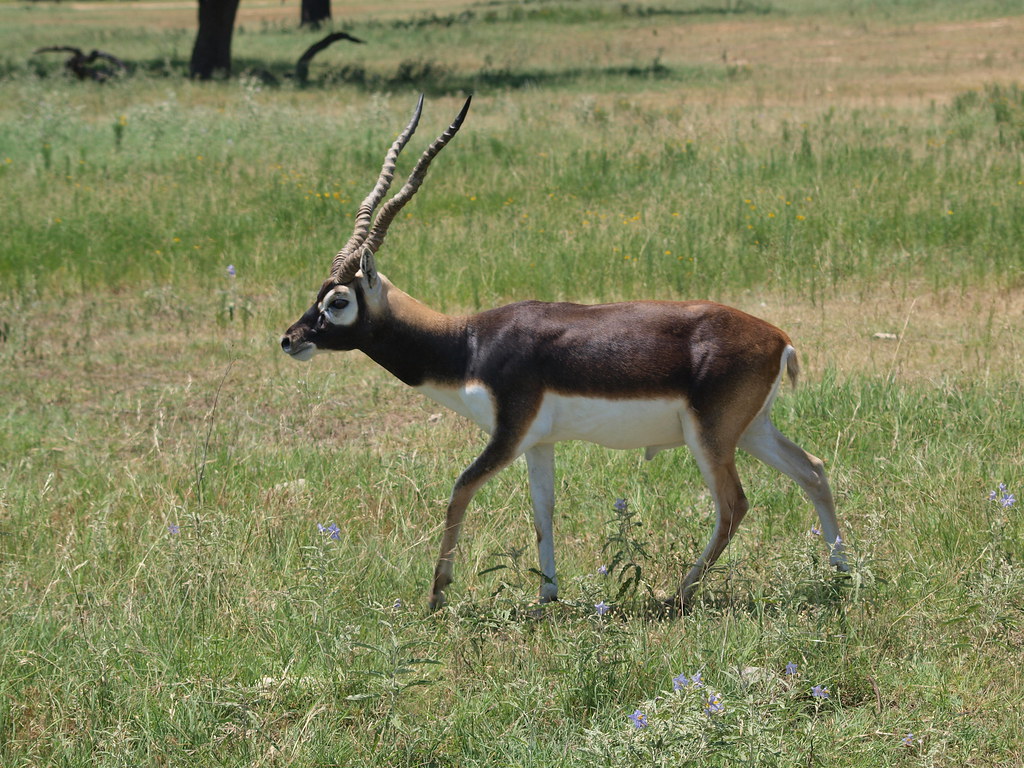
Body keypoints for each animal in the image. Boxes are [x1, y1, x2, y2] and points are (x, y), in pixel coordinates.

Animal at [280, 96, 848, 613]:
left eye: (338, 300)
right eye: (318, 292)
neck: (468, 343)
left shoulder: (508, 433)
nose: (290, 338)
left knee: (734, 505)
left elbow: (460, 488)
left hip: (709, 438)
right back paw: (843, 574)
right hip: (750, 430)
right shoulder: (538, 441)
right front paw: (547, 595)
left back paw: (679, 594)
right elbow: (542, 510)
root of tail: (778, 338)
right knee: (813, 470)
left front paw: (438, 595)